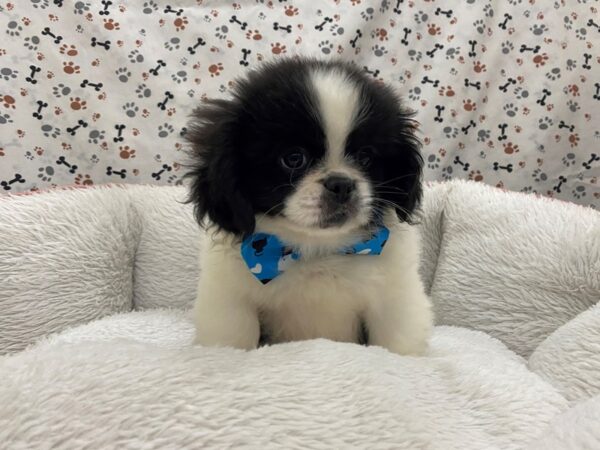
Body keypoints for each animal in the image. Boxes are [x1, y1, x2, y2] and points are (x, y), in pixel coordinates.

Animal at [186, 58, 432, 356]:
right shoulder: (229, 298)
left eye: (365, 157)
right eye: (293, 158)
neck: (318, 251)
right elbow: (233, 337)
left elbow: (397, 343)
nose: (341, 184)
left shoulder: (395, 297)